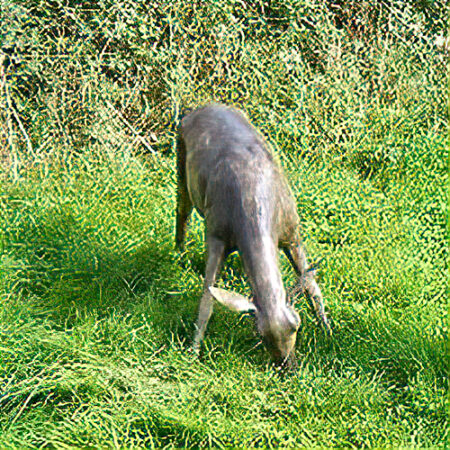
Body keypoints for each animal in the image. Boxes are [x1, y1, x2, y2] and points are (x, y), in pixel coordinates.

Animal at [176, 103, 330, 368]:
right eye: (258, 332)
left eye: (296, 325)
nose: (286, 368)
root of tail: (200, 108)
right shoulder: (216, 234)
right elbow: (207, 298)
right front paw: (193, 351)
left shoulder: (291, 231)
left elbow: (311, 284)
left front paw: (328, 332)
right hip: (180, 159)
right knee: (182, 209)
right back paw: (179, 256)